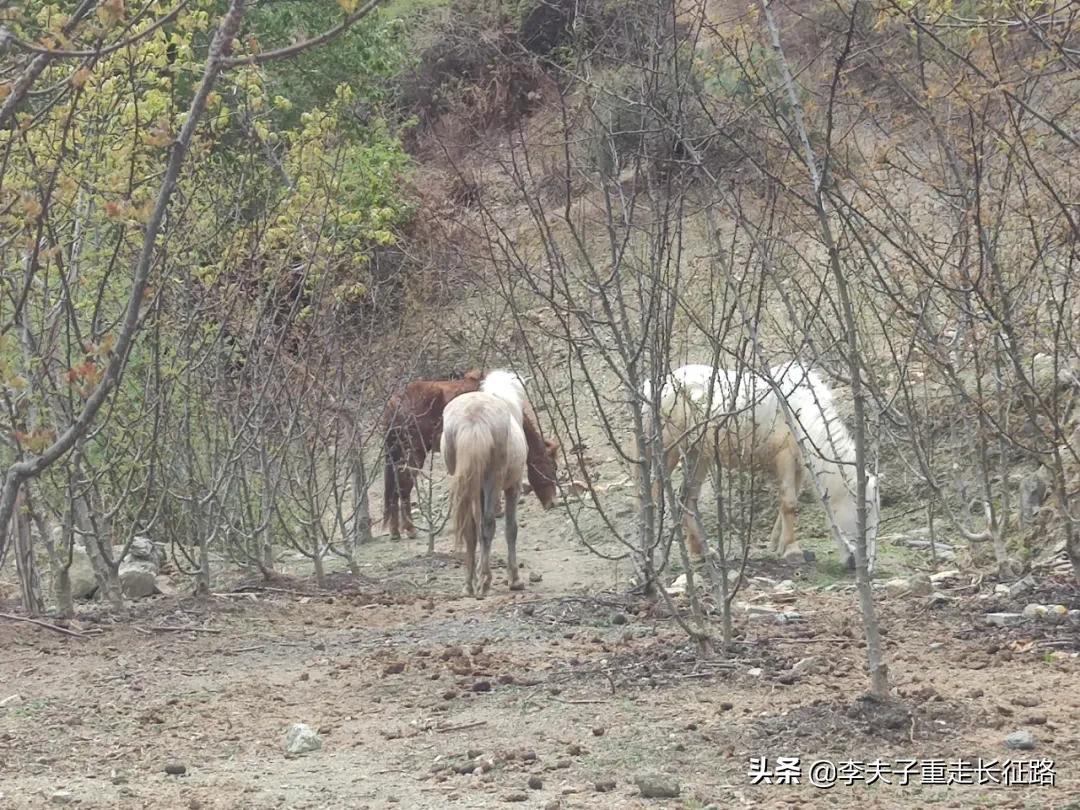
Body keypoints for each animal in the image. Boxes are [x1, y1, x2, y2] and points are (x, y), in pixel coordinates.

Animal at [384, 373, 561, 542]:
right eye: (552, 468)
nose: (552, 503)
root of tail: (393, 403)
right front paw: (497, 510)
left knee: (394, 488)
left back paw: (395, 531)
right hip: (414, 453)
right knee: (404, 484)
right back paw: (410, 529)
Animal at [442, 371, 531, 600]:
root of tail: (473, 418)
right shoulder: (513, 488)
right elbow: (510, 529)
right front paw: (514, 580)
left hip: (467, 485)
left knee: (471, 529)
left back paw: (469, 585)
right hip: (493, 481)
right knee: (489, 525)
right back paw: (485, 582)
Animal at [639, 360, 876, 570]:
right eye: (864, 512)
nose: (862, 564)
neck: (799, 409)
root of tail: (656, 386)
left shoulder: (799, 465)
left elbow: (788, 503)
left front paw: (779, 545)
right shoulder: (785, 458)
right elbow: (790, 503)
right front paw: (793, 551)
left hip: (698, 455)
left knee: (687, 497)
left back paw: (700, 553)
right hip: (669, 452)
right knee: (656, 493)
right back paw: (656, 552)